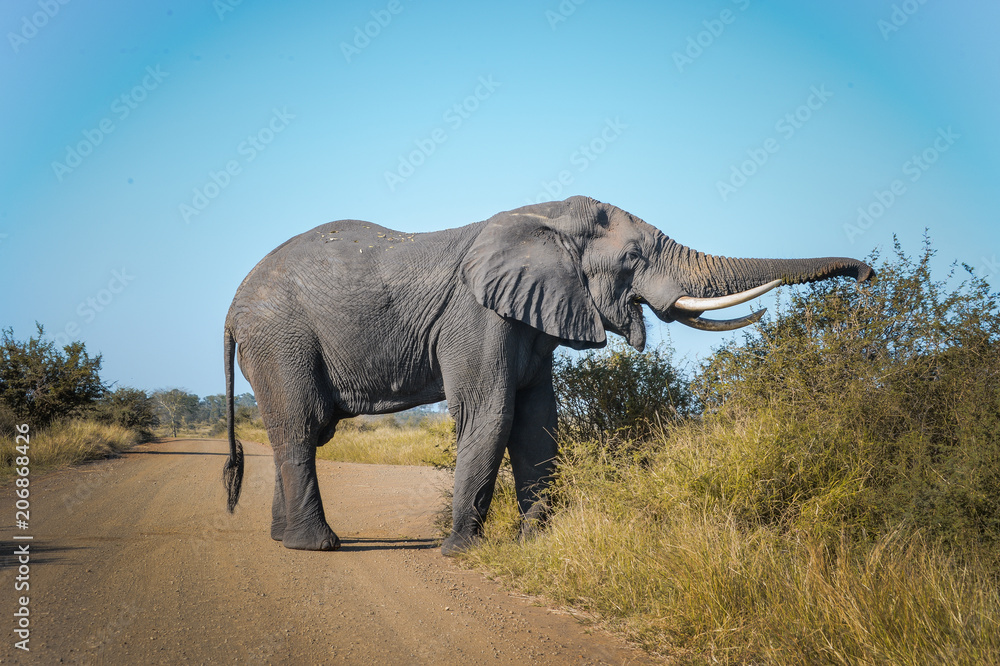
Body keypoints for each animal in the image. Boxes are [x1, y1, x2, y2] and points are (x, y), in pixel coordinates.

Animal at [222, 195, 874, 556]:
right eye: (633, 259)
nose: (867, 274)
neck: (547, 216)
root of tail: (231, 309)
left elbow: (538, 424)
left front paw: (533, 544)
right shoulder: (477, 315)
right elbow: (491, 414)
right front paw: (460, 552)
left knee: (297, 430)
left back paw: (285, 540)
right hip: (280, 337)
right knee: (302, 425)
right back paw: (317, 547)